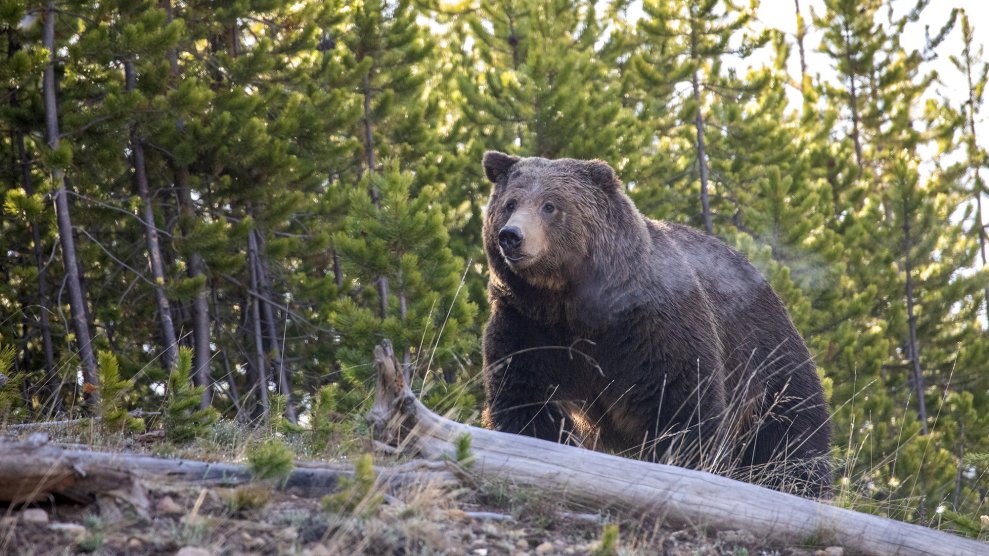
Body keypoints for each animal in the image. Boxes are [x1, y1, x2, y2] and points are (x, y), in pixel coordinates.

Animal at [480, 151, 832, 498]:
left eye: (550, 205)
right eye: (510, 203)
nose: (511, 236)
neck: (569, 302)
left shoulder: (649, 325)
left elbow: (679, 401)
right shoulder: (529, 325)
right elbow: (525, 396)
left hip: (766, 355)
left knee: (791, 432)